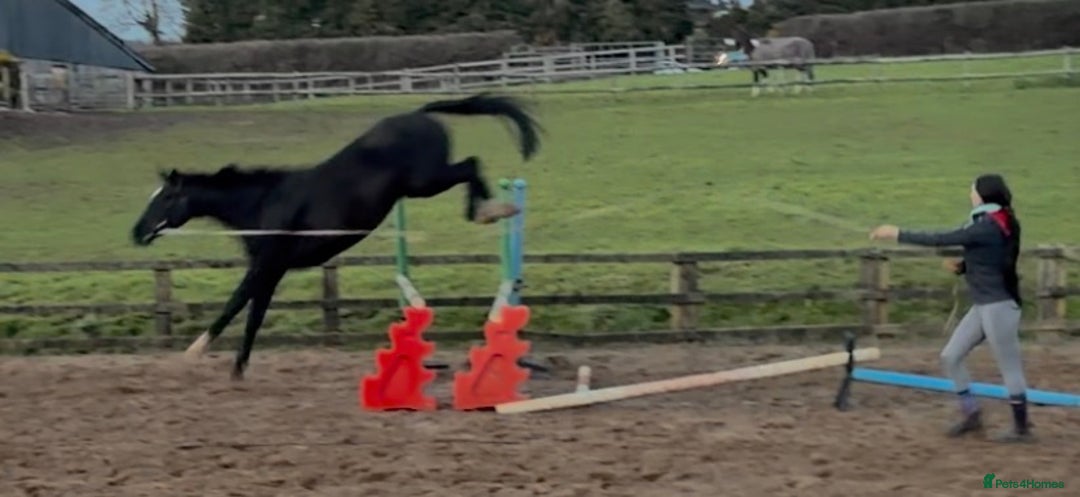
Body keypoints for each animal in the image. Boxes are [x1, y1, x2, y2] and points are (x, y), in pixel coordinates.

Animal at [130, 93, 542, 380]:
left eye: (166, 198)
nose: (136, 233)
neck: (263, 202)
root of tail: (420, 114)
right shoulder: (272, 271)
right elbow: (254, 316)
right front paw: (237, 369)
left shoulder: (265, 265)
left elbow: (235, 305)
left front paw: (195, 352)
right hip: (422, 185)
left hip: (425, 181)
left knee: (469, 166)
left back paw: (491, 211)